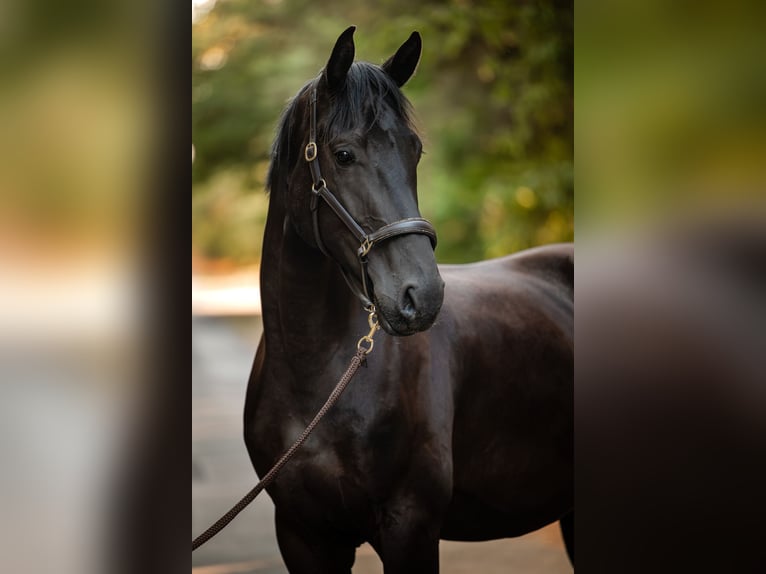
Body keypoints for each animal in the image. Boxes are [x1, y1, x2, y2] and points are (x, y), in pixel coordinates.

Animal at [244, 26, 573, 573]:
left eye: (414, 150)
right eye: (343, 154)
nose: (422, 294)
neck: (318, 376)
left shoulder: (410, 528)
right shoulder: (301, 535)